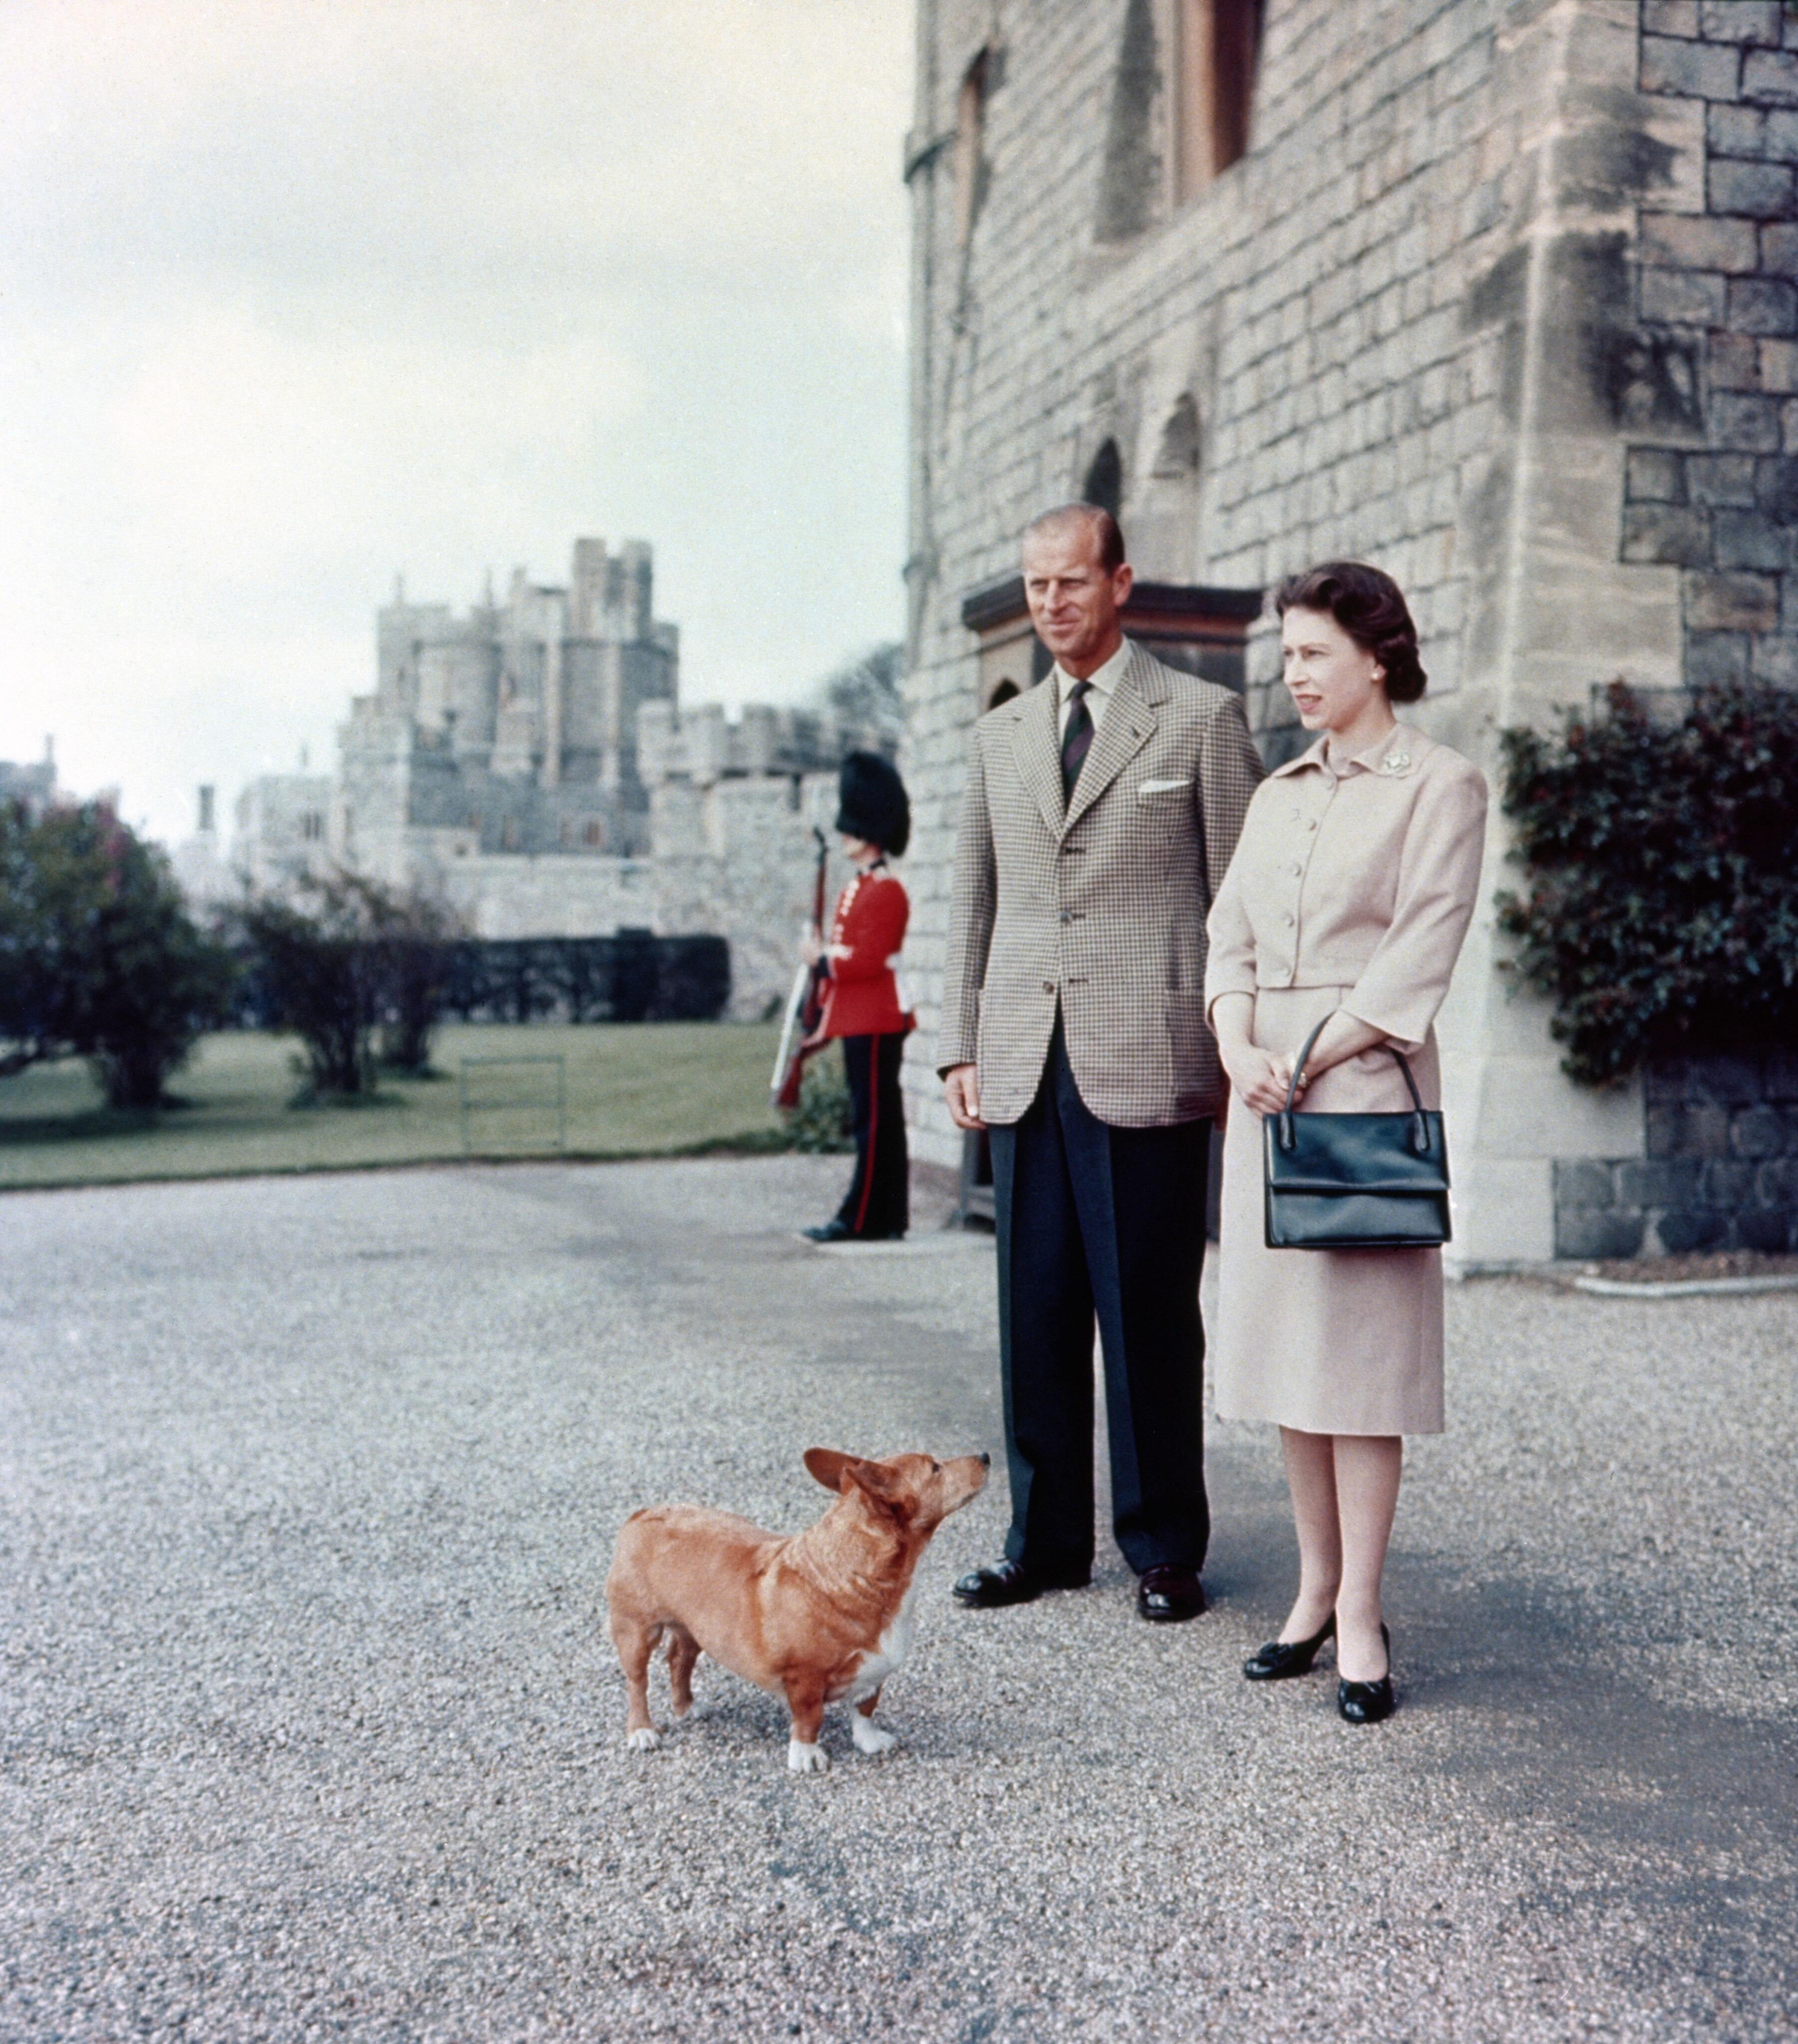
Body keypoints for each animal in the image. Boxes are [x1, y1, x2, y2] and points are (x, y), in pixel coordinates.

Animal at [613, 1447, 989, 1766]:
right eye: (935, 1468)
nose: (986, 1457)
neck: (858, 1575)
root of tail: (642, 1514)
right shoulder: (804, 1678)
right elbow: (810, 1719)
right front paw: (806, 1757)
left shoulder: (874, 1673)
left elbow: (865, 1709)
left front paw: (869, 1741)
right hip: (636, 1631)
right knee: (637, 1683)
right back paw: (642, 1731)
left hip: (694, 1629)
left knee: (680, 1660)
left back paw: (687, 1708)